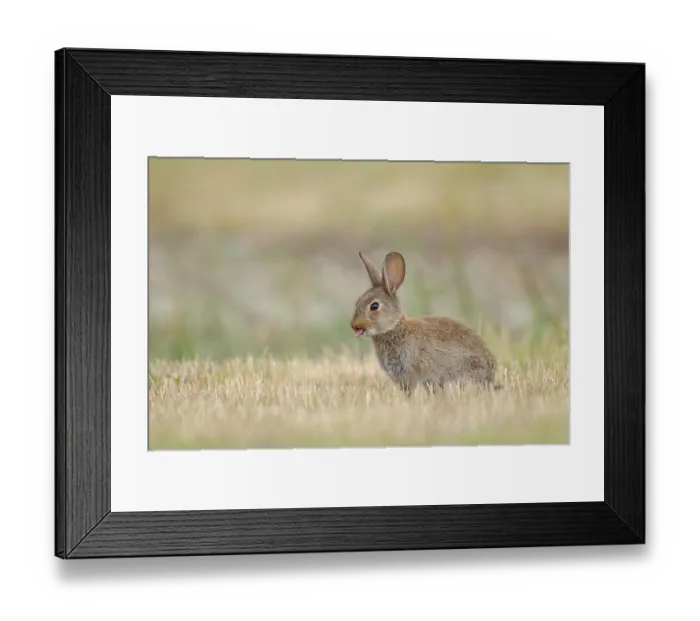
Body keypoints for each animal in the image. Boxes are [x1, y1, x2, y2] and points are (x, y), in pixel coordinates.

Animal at [351, 250, 499, 394]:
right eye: (358, 301)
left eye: (374, 306)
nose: (353, 325)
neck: (394, 328)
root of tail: (490, 377)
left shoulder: (408, 372)